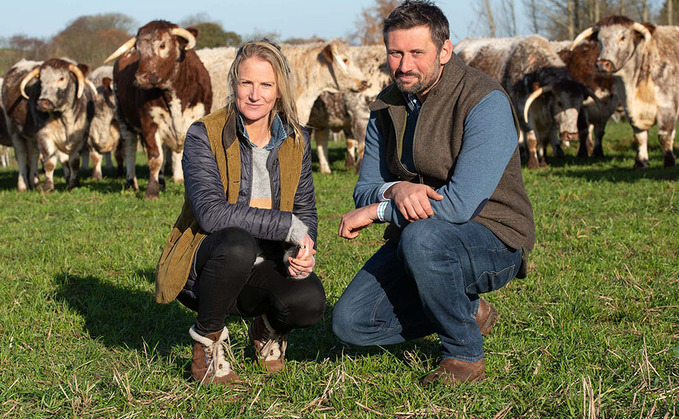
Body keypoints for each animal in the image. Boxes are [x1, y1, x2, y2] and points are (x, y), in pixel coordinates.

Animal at [2, 57, 94, 192]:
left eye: (61, 78)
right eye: (41, 80)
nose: (42, 102)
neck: (63, 117)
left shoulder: (80, 137)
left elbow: (74, 162)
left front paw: (74, 184)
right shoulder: (44, 136)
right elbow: (49, 163)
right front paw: (48, 187)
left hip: (32, 139)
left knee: (33, 156)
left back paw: (35, 183)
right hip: (15, 133)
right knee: (22, 157)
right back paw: (23, 185)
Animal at [105, 20, 212, 201]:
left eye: (162, 45)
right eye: (138, 49)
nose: (140, 77)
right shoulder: (149, 124)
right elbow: (155, 159)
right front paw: (152, 192)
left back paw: (162, 182)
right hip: (123, 120)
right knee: (130, 148)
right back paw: (131, 183)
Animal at [456, 34, 596, 169]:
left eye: (579, 106)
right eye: (560, 103)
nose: (572, 136)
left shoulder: (548, 119)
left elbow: (545, 140)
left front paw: (543, 161)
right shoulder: (523, 113)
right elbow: (532, 139)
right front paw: (533, 164)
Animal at [572, 16, 679, 168]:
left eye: (622, 37)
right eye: (599, 40)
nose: (602, 64)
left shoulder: (667, 105)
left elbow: (664, 135)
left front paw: (670, 162)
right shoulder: (629, 108)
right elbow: (639, 136)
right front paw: (640, 162)